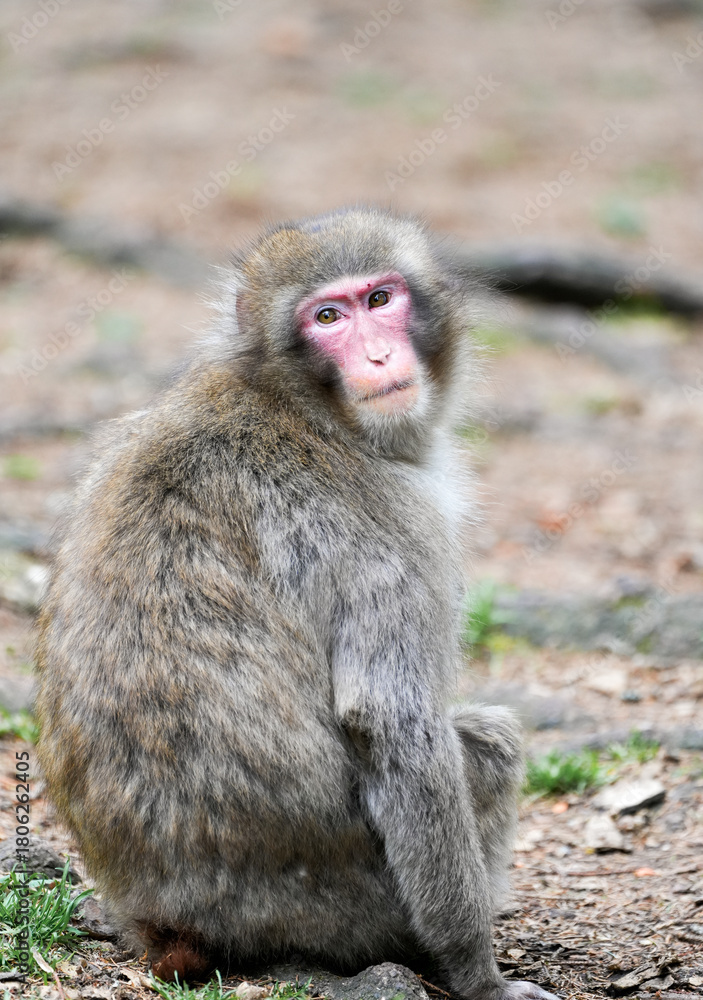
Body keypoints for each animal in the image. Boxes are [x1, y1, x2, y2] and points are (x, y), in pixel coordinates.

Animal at [35, 208, 558, 1000]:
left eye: (379, 299)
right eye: (327, 317)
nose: (376, 356)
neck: (302, 402)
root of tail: (168, 928)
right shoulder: (392, 529)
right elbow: (393, 726)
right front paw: (479, 974)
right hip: (355, 907)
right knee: (490, 748)